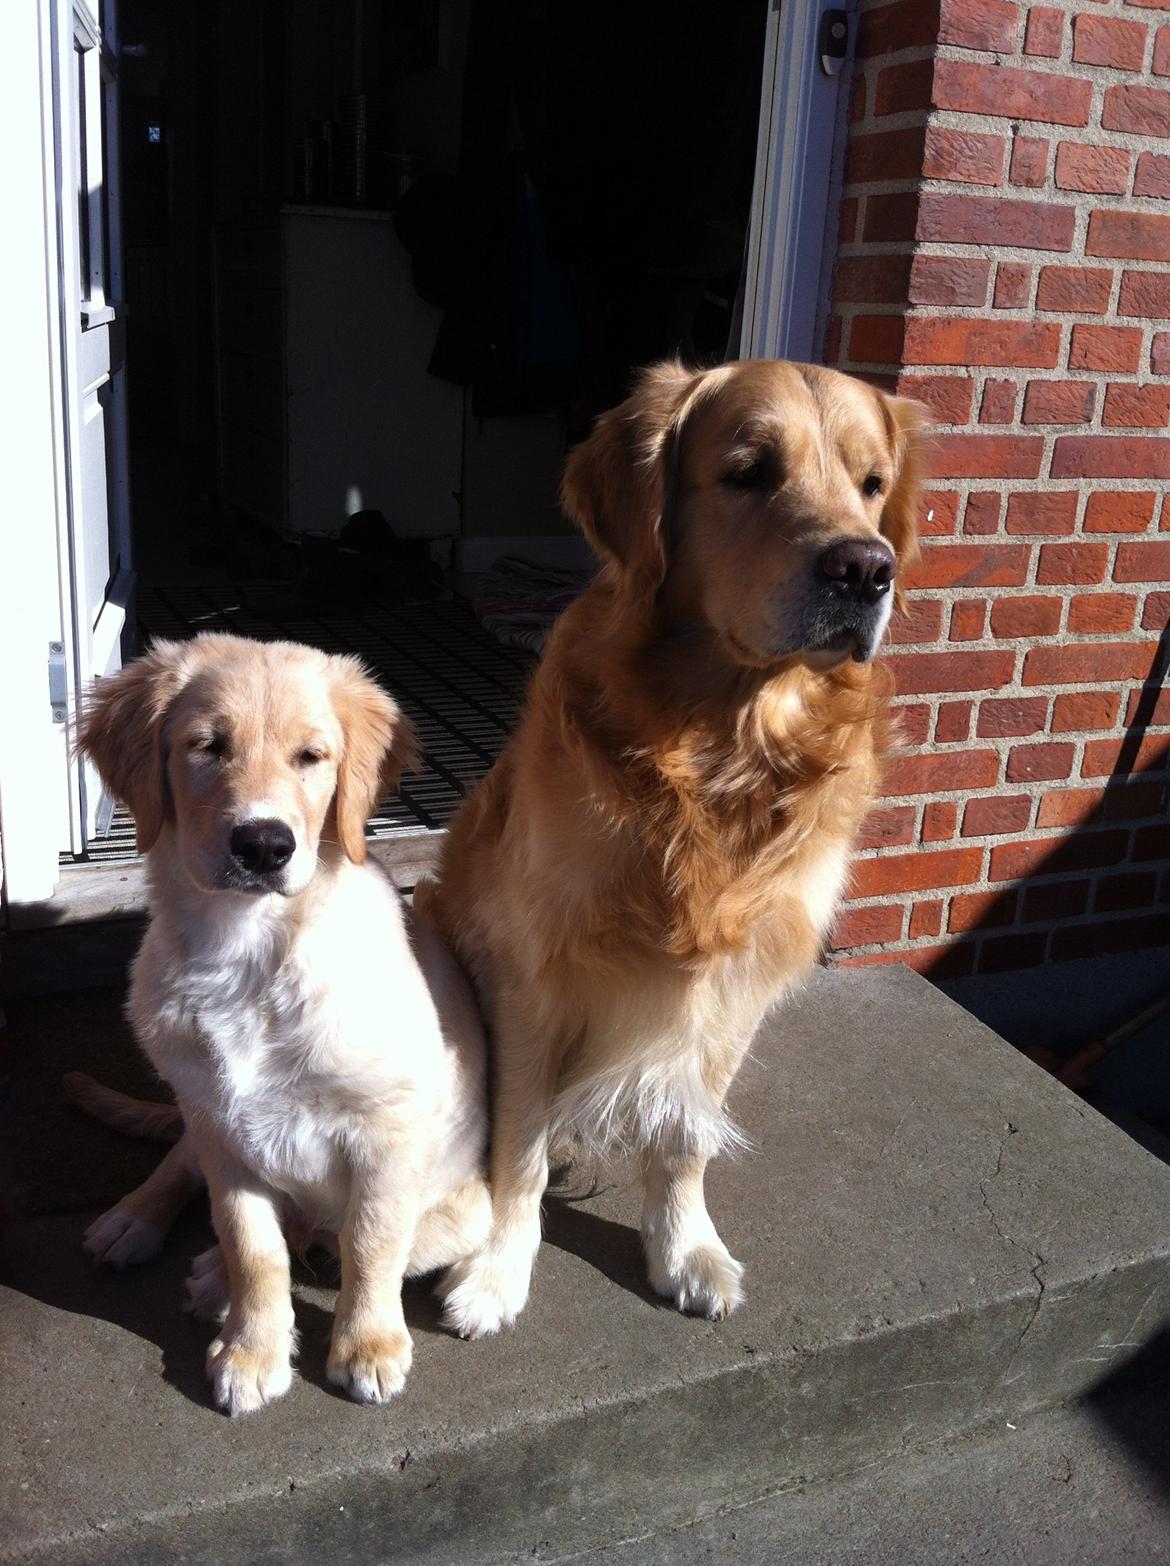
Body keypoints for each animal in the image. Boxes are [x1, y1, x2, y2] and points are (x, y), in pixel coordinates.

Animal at [76, 629, 488, 1415]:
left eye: (311, 757)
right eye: (207, 746)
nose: (264, 845)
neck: (252, 953)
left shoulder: (389, 1132)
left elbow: (370, 1240)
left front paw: (368, 1344)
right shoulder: (222, 1129)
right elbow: (253, 1247)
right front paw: (252, 1350)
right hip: (196, 1115)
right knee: (184, 1168)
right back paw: (136, 1221)